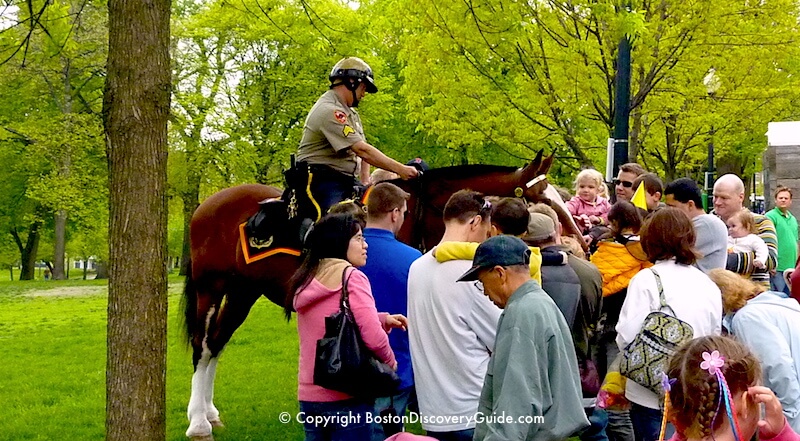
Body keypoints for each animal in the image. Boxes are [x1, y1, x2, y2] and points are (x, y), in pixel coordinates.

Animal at [181, 150, 580, 436]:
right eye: (539, 200)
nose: (577, 237)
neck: (418, 213)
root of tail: (208, 204)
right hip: (210, 287)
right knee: (202, 345)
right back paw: (198, 421)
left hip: (243, 292)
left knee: (216, 344)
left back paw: (210, 412)